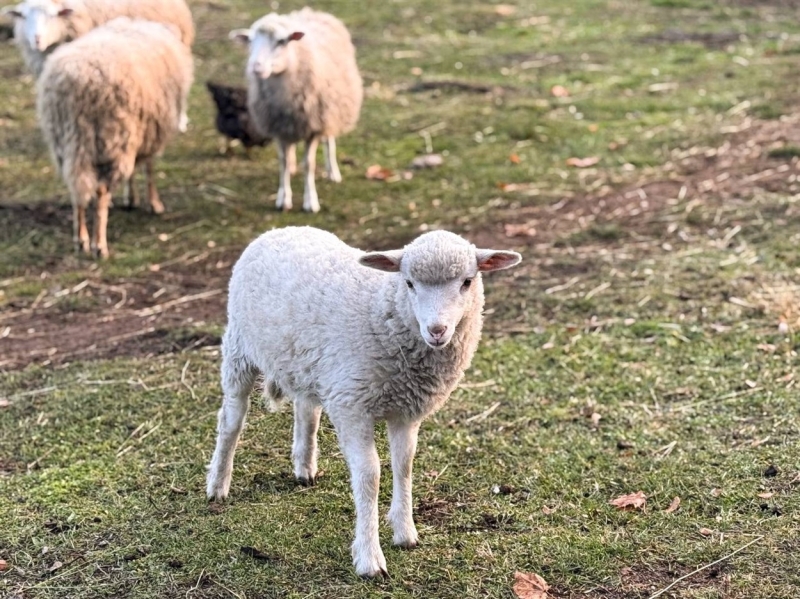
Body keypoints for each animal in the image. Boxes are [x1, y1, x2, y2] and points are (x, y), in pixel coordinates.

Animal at [36, 18, 195, 258]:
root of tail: (76, 82)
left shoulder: (138, 132)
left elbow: (135, 171)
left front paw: (132, 198)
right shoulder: (150, 132)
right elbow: (149, 169)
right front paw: (153, 203)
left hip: (67, 140)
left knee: (77, 189)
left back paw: (80, 238)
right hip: (113, 137)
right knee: (101, 191)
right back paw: (99, 244)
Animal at [205, 225, 520, 576]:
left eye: (467, 281)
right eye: (409, 283)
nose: (437, 330)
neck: (384, 311)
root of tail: (281, 230)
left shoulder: (406, 410)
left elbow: (404, 464)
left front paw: (405, 532)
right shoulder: (352, 405)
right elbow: (370, 475)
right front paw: (370, 557)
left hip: (306, 364)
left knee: (306, 409)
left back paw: (304, 467)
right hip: (239, 348)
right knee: (231, 420)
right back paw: (218, 485)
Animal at [230, 8, 364, 213]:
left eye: (281, 41)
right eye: (250, 41)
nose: (256, 67)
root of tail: (311, 11)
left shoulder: (314, 126)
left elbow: (309, 164)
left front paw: (310, 202)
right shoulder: (278, 127)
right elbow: (283, 162)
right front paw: (283, 199)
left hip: (331, 109)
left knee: (329, 139)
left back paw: (332, 172)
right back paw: (293, 166)